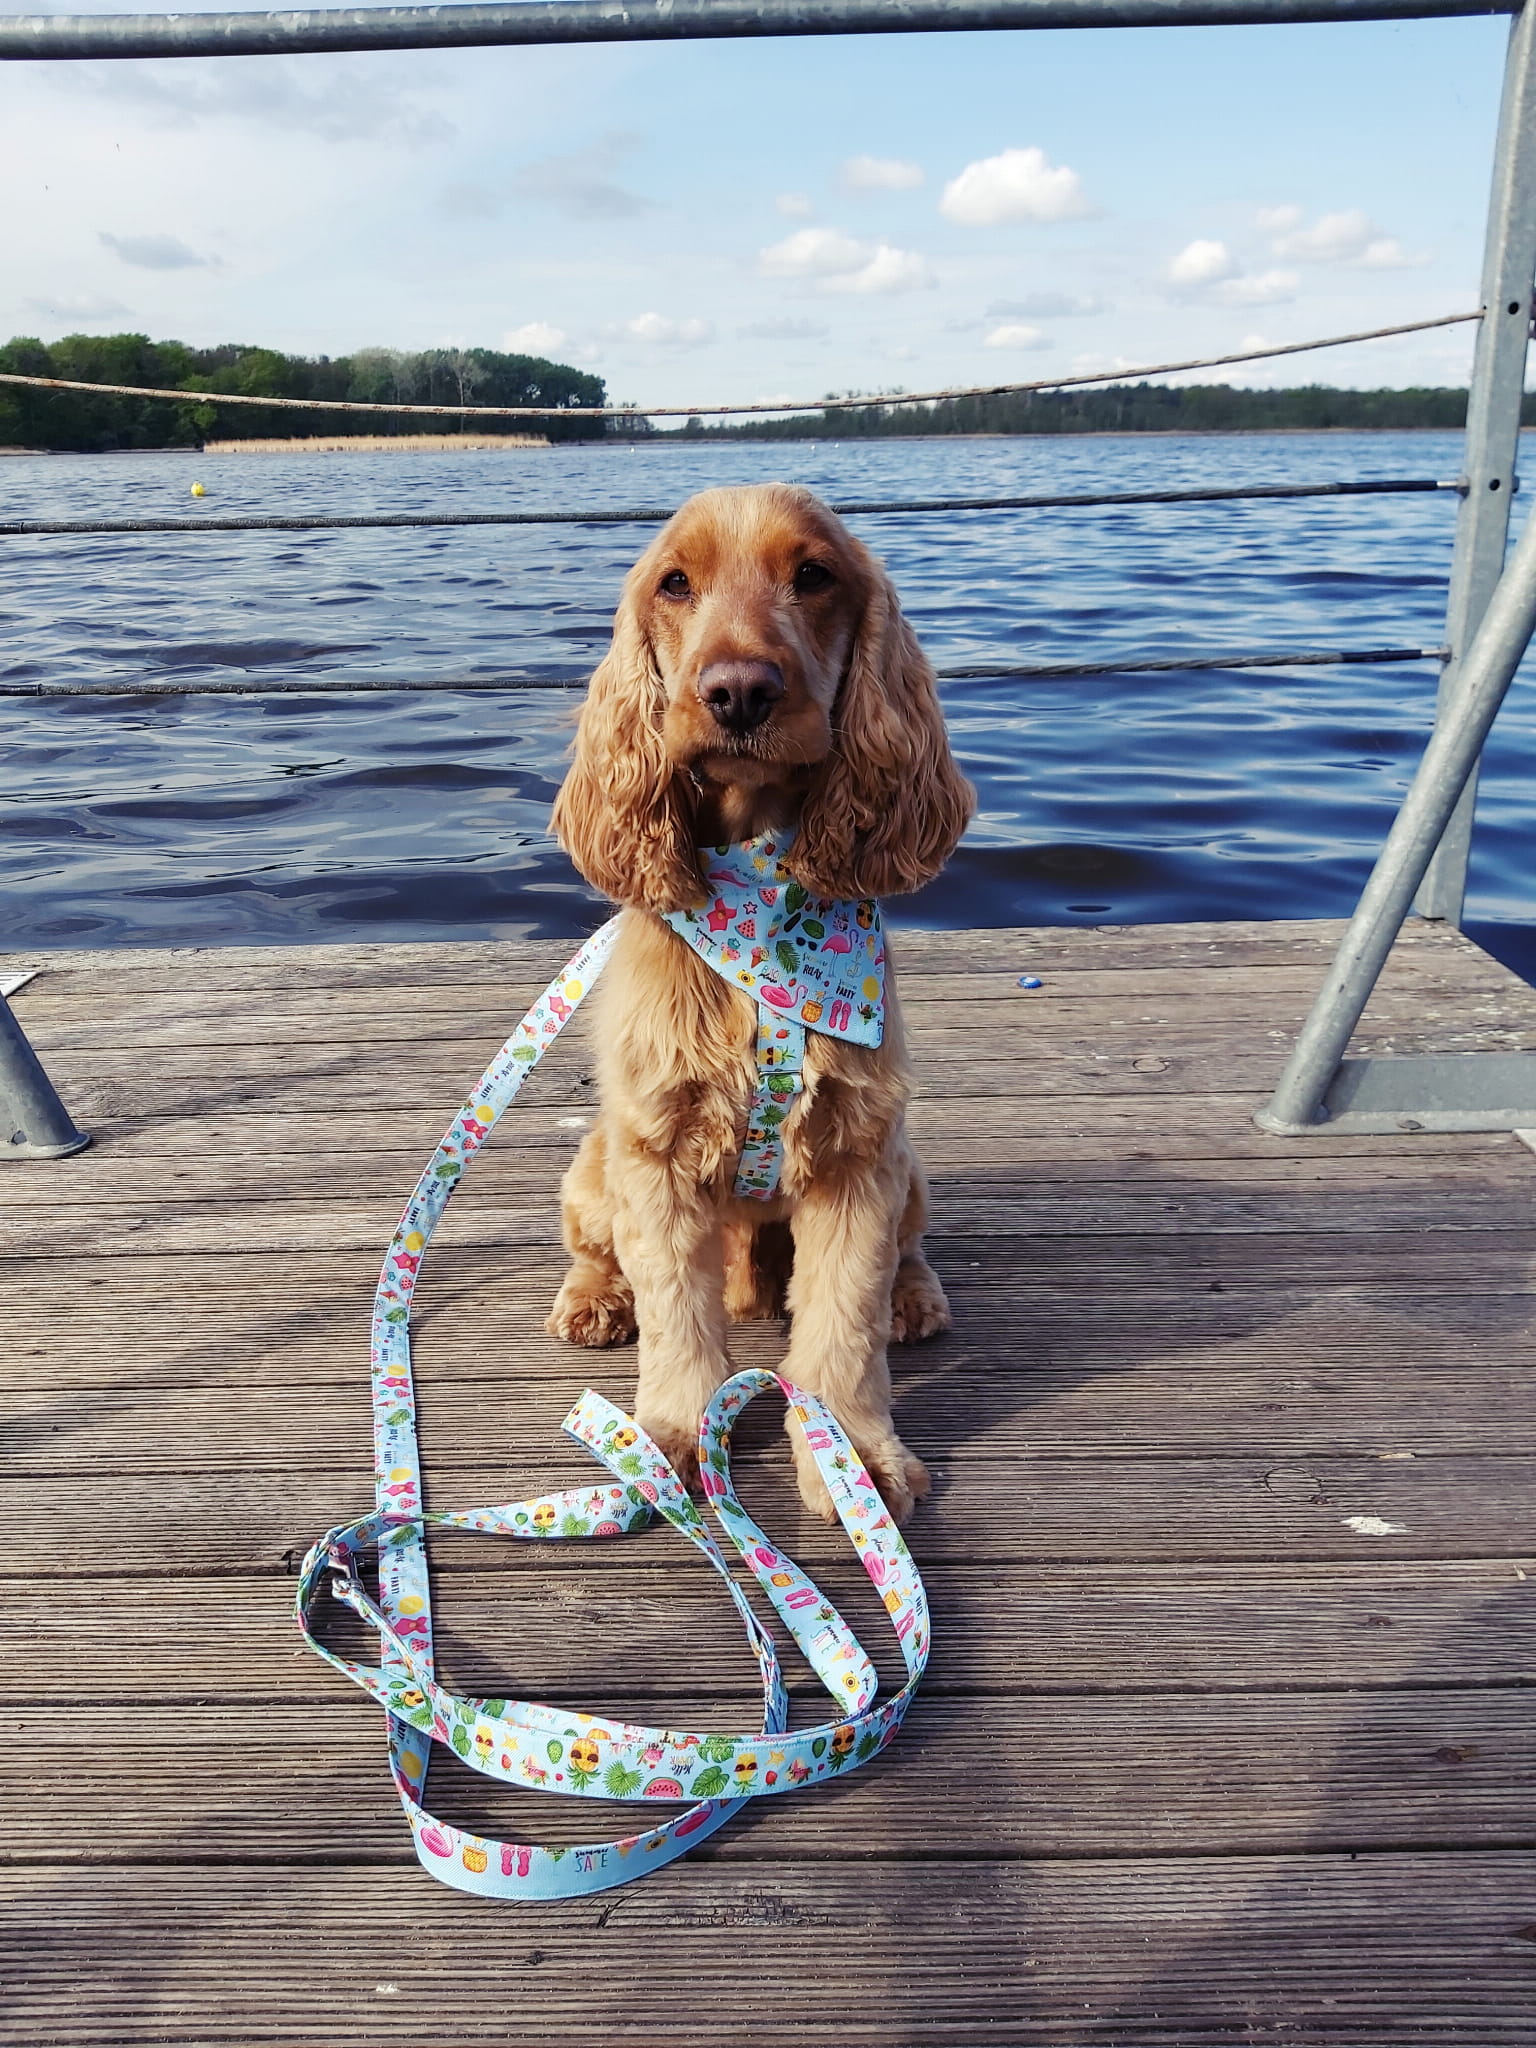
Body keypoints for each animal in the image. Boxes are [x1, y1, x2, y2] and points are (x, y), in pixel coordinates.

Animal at [545, 483, 973, 1523]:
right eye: (674, 583)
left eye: (814, 575)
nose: (738, 690)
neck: (763, 893)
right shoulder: (655, 1155)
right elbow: (675, 1315)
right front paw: (665, 1441)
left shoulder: (860, 1155)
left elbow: (845, 1322)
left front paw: (855, 1458)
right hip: (591, 1169)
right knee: (597, 1252)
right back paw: (593, 1303)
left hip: (910, 1169)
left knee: (906, 1254)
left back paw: (914, 1300)